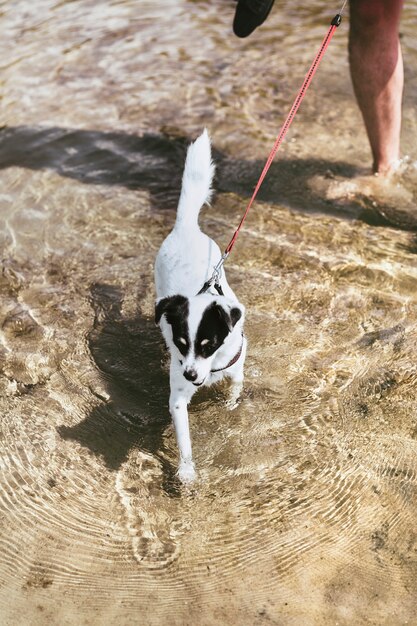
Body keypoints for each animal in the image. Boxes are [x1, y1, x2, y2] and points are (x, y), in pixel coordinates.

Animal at [156, 129, 247, 482]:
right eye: (182, 343)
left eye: (209, 344)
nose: (192, 374)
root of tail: (186, 226)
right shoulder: (179, 395)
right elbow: (184, 437)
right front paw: (186, 470)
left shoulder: (236, 365)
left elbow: (235, 389)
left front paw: (230, 407)